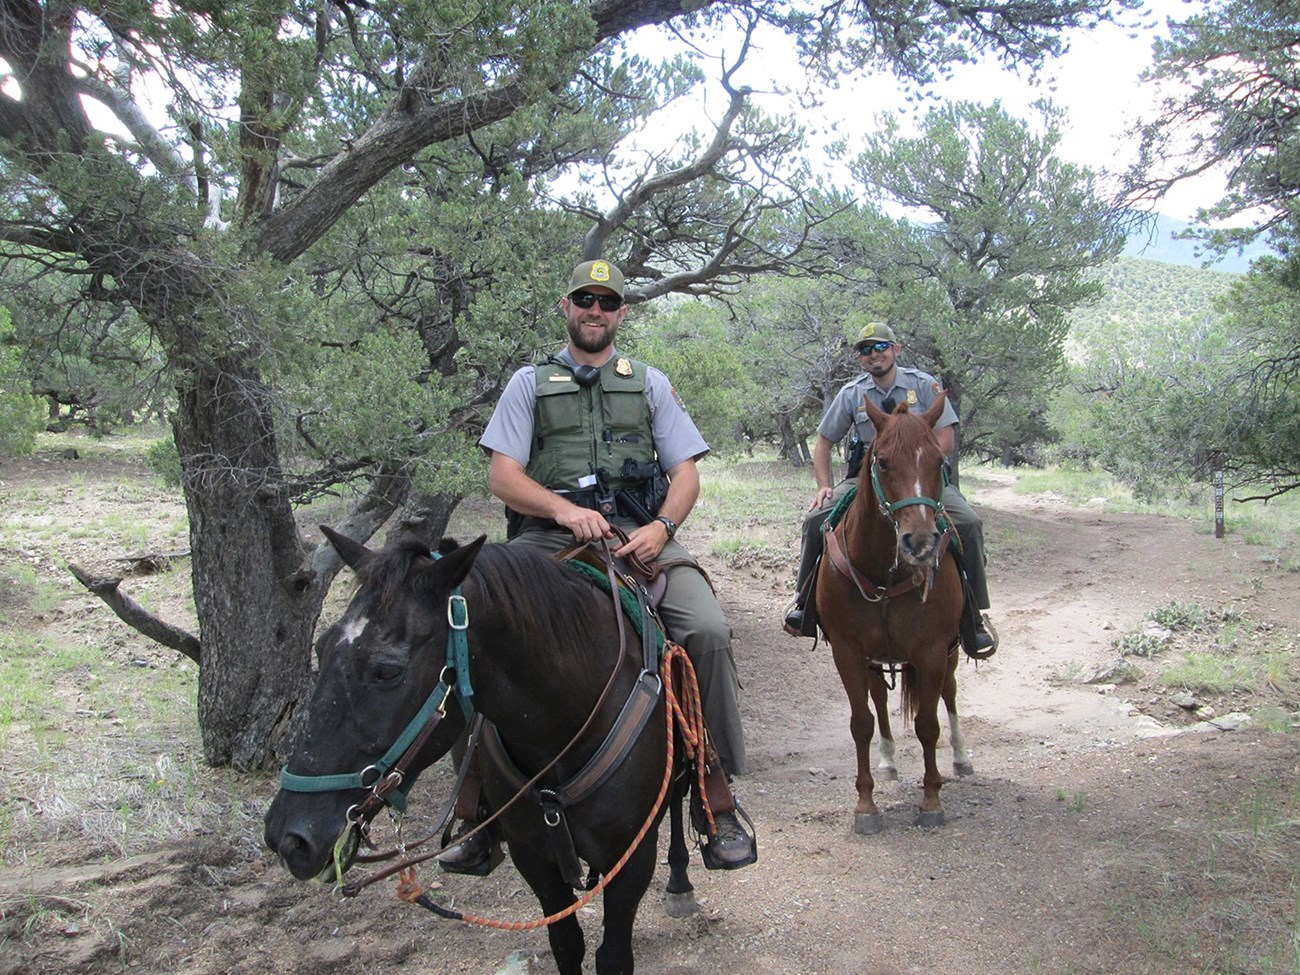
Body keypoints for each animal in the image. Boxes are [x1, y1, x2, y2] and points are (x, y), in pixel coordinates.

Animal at [816, 392, 972, 837]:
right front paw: (865, 805)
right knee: (879, 699)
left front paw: (931, 800)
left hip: (951, 652)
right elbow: (861, 722)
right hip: (875, 659)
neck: (884, 574)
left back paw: (960, 757)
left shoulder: (932, 650)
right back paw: (886, 762)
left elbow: (927, 724)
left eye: (939, 461)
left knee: (950, 694)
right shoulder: (848, 652)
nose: (919, 542)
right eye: (883, 461)